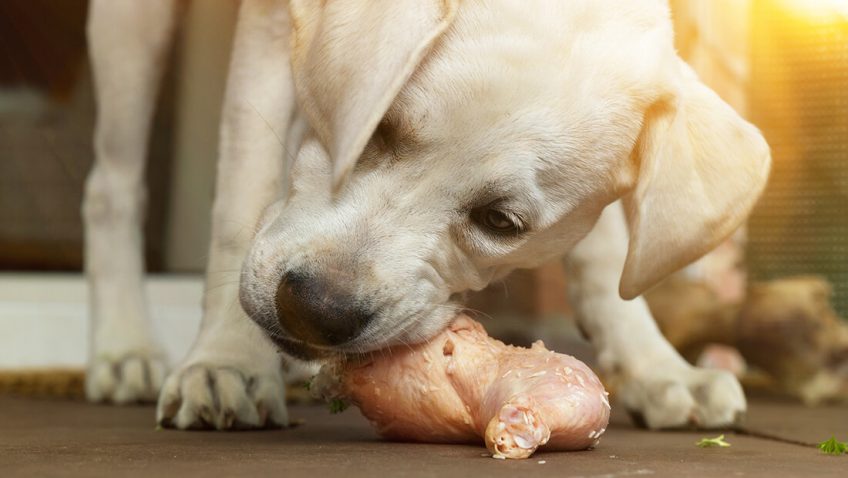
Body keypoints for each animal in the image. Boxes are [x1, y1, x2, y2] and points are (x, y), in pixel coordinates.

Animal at [84, 0, 768, 432]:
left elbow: (607, 252)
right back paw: (124, 350)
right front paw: (226, 363)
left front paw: (657, 368)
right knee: (112, 184)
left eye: (501, 222)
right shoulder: (270, 30)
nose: (315, 311)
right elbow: (242, 195)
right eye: (376, 128)